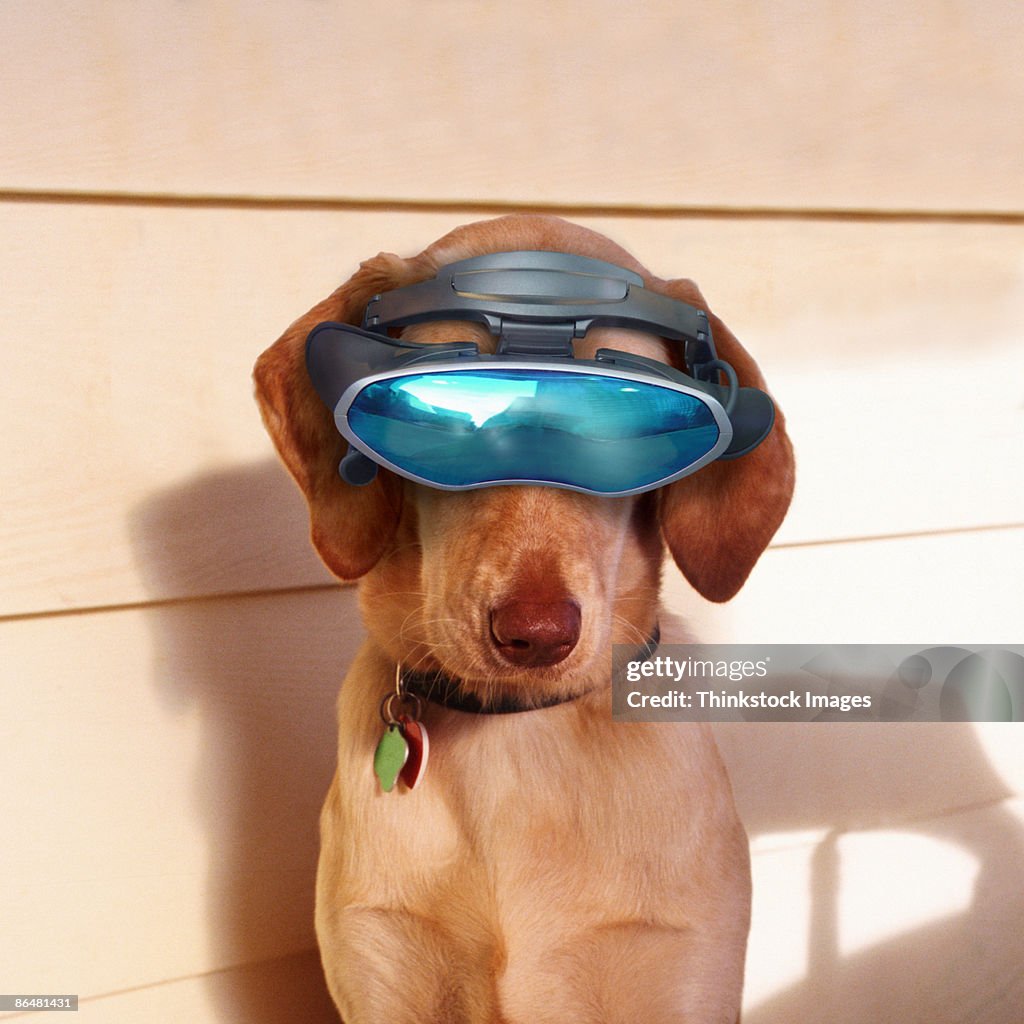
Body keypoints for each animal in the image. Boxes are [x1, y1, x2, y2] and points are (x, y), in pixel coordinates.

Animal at [251, 211, 794, 1019]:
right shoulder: (381, 972)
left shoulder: (679, 978)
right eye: (440, 418)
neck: (514, 734)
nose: (535, 636)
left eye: (625, 429)